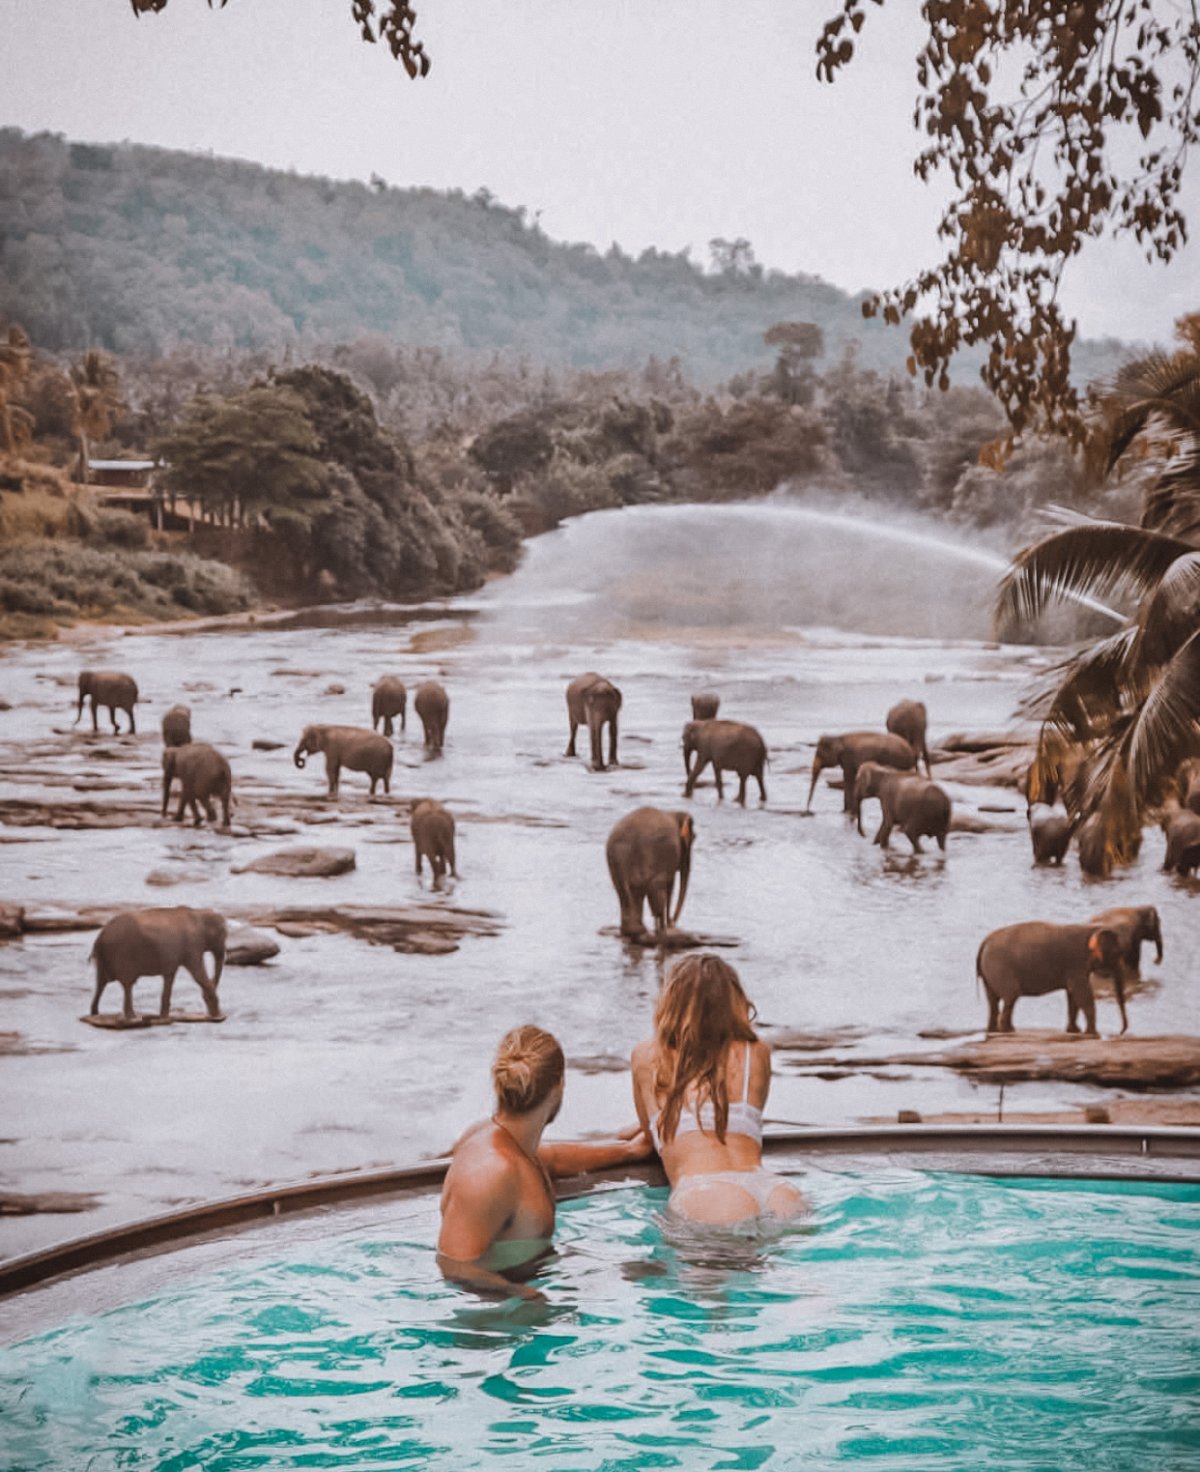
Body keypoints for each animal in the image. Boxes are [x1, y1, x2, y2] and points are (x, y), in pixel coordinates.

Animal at [89, 906, 228, 1024]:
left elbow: (170, 976)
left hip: (105, 958)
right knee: (127, 984)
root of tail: (99, 938)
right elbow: (197, 973)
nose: (204, 998)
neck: (199, 913)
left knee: (101, 984)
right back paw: (133, 1018)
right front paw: (218, 1017)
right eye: (223, 936)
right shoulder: (193, 944)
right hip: (122, 954)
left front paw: (164, 1018)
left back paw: (95, 1014)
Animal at [971, 918, 1130, 1036]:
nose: (1121, 1032)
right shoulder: (1075, 963)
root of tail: (984, 942)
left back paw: (995, 1030)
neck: (1092, 928)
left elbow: (1072, 996)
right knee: (1011, 996)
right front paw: (1092, 1033)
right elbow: (1081, 994)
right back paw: (1008, 1030)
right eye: (1117, 953)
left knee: (993, 1001)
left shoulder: (1073, 969)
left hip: (989, 973)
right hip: (1000, 969)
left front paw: (1074, 1031)